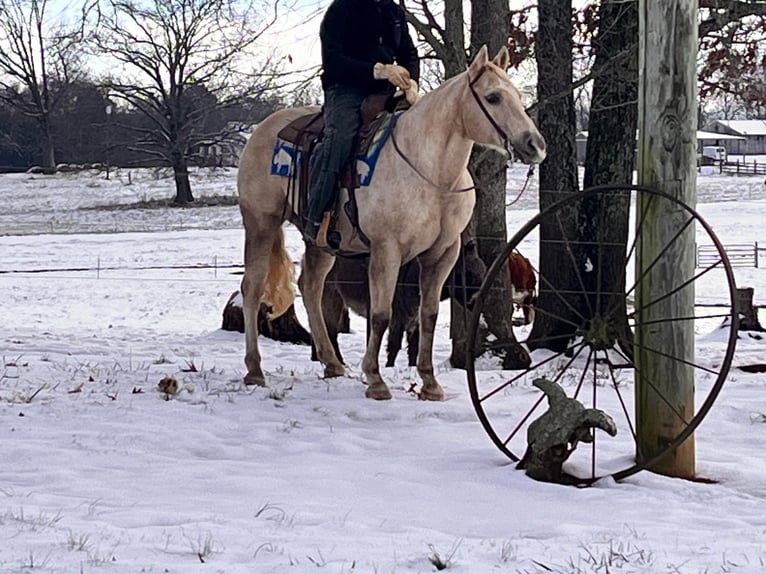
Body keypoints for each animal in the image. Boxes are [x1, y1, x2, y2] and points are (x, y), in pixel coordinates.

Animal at [238, 45, 544, 402]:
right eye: (493, 97)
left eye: (519, 97)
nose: (535, 145)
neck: (430, 172)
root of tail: (262, 129)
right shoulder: (387, 250)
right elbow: (381, 316)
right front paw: (375, 379)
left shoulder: (443, 253)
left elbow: (427, 315)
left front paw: (429, 383)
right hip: (261, 224)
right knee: (252, 288)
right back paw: (254, 370)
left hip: (322, 242)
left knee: (310, 286)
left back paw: (332, 364)